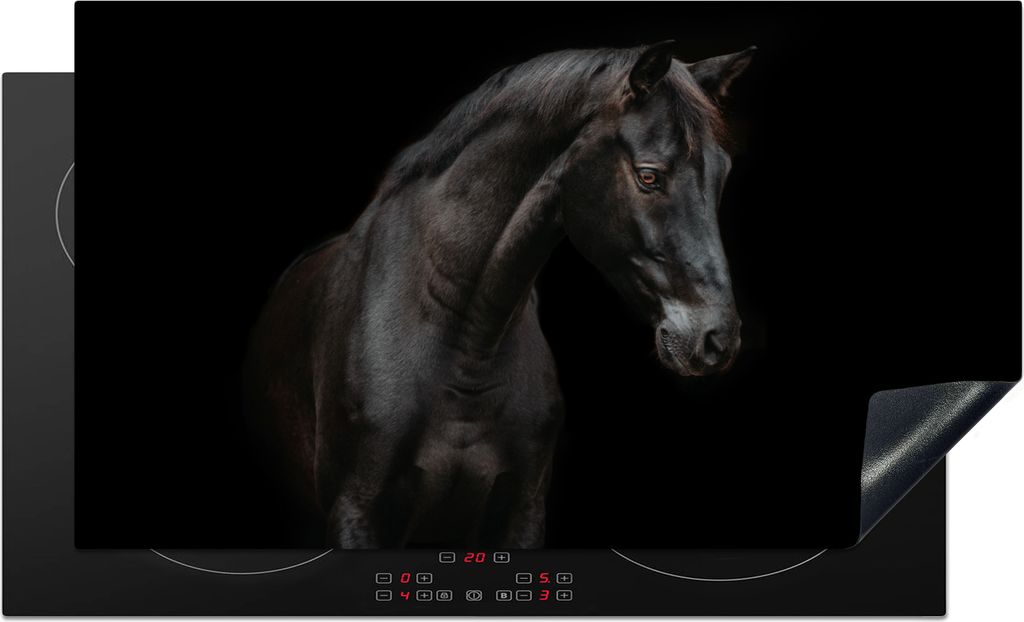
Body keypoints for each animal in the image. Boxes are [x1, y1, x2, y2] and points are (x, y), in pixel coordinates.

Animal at [244, 41, 754, 548]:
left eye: (723, 173)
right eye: (649, 176)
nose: (717, 339)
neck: (465, 345)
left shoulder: (521, 512)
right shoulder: (357, 512)